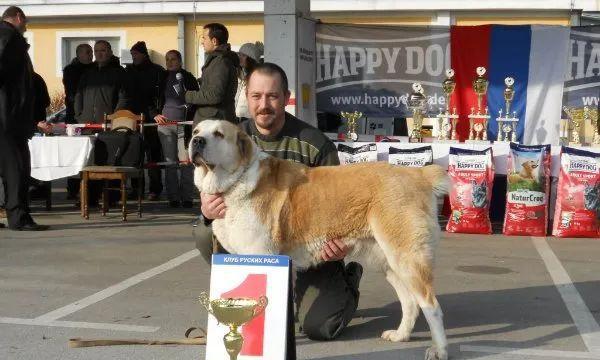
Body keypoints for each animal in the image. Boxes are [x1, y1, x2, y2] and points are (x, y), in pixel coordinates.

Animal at [192, 119, 450, 358]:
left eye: (219, 134)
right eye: (196, 131)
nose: (196, 141)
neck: (236, 180)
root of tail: (418, 173)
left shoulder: (261, 256)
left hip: (405, 257)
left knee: (431, 305)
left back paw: (440, 350)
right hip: (388, 261)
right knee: (410, 302)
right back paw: (401, 335)